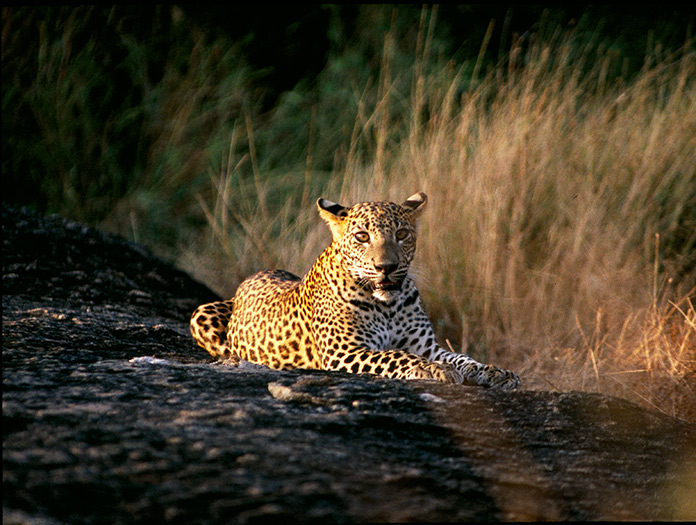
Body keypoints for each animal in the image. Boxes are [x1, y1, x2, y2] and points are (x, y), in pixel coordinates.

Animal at [190, 191, 520, 388]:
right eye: (362, 236)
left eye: (402, 234)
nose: (386, 267)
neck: (388, 305)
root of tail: (260, 272)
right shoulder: (345, 351)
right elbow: (394, 356)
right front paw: (432, 370)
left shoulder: (425, 345)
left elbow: (462, 357)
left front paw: (496, 371)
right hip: (200, 312)